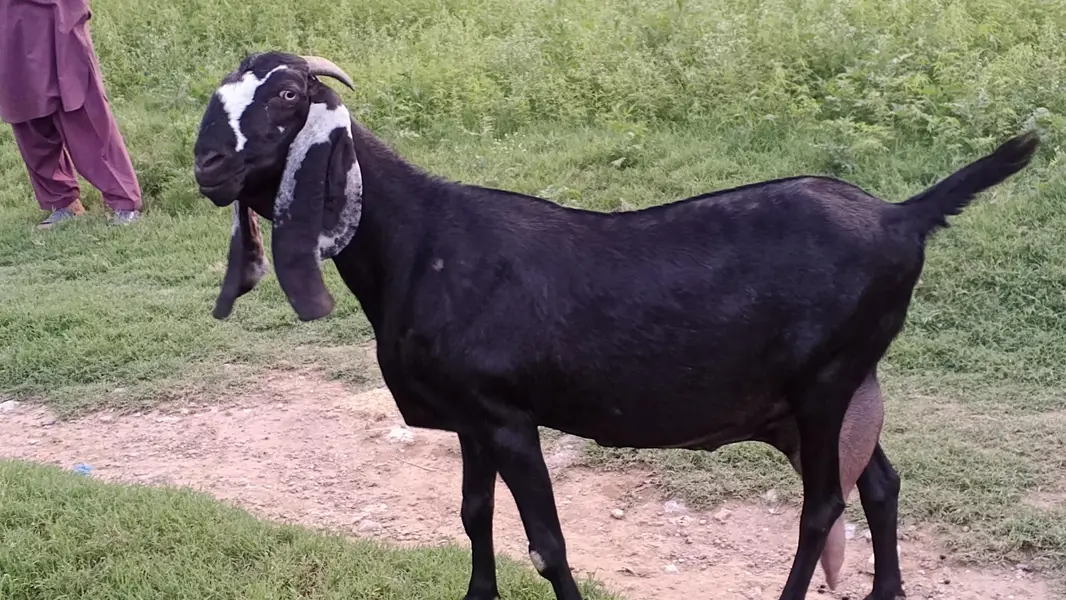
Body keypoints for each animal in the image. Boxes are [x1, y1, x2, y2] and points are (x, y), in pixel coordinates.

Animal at [191, 51, 1039, 600]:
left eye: (288, 95)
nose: (207, 166)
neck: (420, 243)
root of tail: (903, 216)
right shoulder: (468, 416)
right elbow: (472, 517)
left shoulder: (506, 416)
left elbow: (548, 544)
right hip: (837, 389)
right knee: (882, 485)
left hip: (825, 383)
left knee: (824, 507)